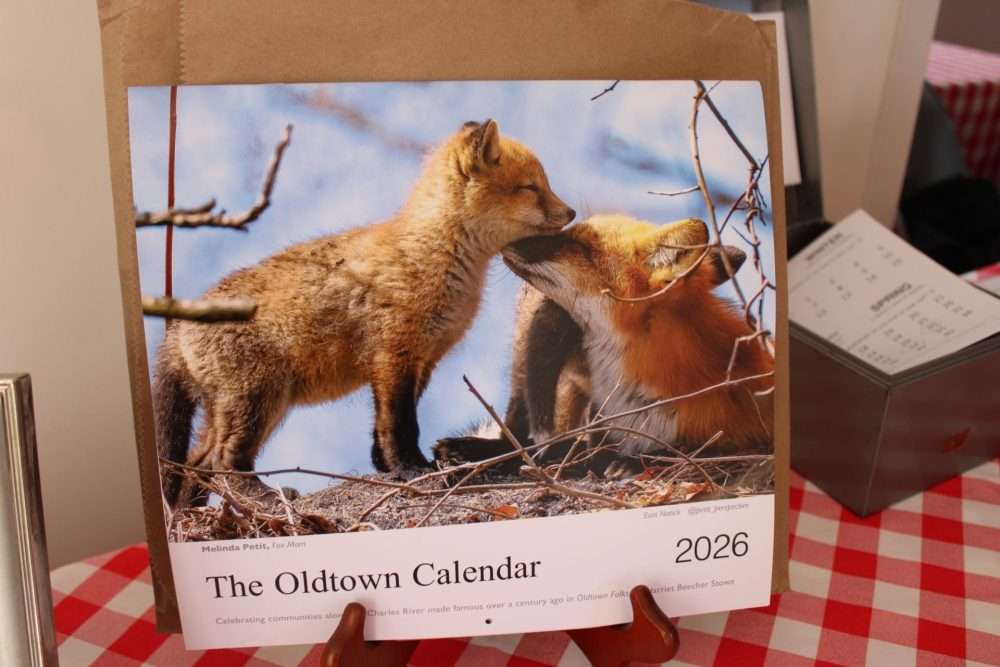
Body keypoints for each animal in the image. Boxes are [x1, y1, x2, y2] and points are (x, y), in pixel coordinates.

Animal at [154, 119, 575, 507]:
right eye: (531, 187)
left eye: (543, 183)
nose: (571, 212)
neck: (433, 254)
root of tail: (177, 330)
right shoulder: (394, 354)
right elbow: (401, 426)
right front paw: (411, 469)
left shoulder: (422, 360)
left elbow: (382, 429)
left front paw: (389, 469)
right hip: (258, 400)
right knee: (223, 463)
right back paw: (263, 497)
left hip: (246, 408)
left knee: (196, 466)